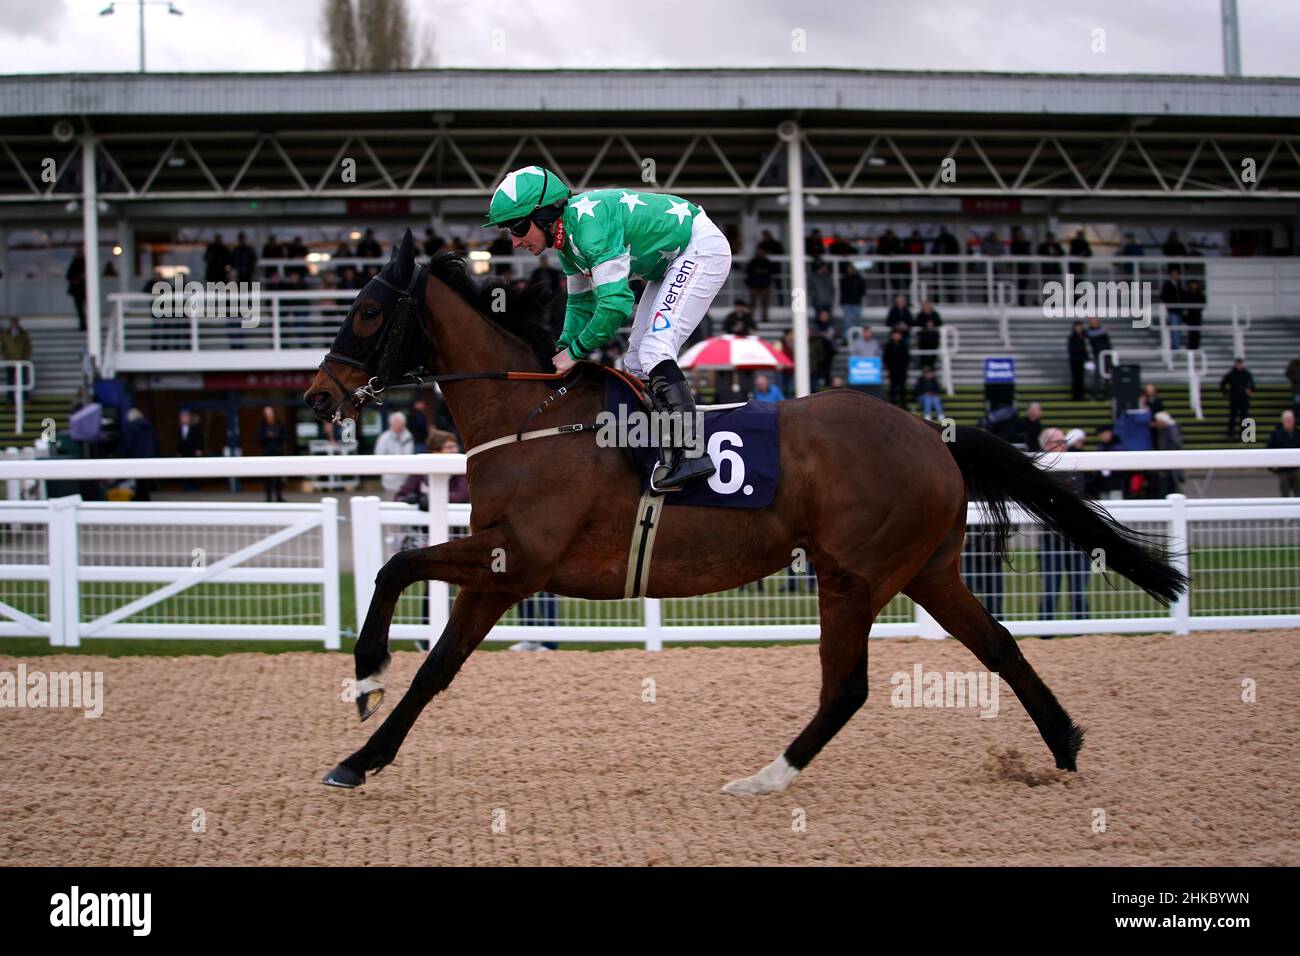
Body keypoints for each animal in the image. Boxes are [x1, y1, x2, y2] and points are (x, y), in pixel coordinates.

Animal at [301, 227, 1190, 796]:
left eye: (370, 311)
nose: (317, 397)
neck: (532, 414)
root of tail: (932, 432)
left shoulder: (514, 558)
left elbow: (400, 578)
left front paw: (366, 683)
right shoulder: (501, 568)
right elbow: (432, 655)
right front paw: (361, 740)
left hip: (853, 575)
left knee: (848, 686)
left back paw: (766, 777)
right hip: (929, 571)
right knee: (1000, 644)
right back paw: (1064, 743)